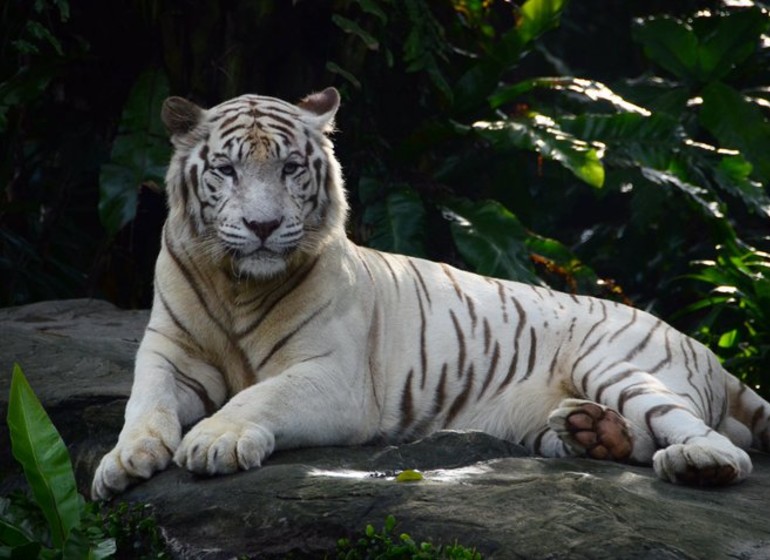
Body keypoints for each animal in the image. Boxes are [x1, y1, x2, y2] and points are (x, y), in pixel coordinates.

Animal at [91, 84, 768, 498]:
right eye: (227, 169)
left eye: (290, 167)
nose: (261, 226)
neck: (237, 285)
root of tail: (707, 351)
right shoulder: (170, 353)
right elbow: (144, 403)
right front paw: (123, 461)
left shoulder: (334, 378)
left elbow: (259, 397)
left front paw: (215, 439)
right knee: (639, 436)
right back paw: (593, 433)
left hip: (620, 364)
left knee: (712, 443)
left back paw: (697, 465)